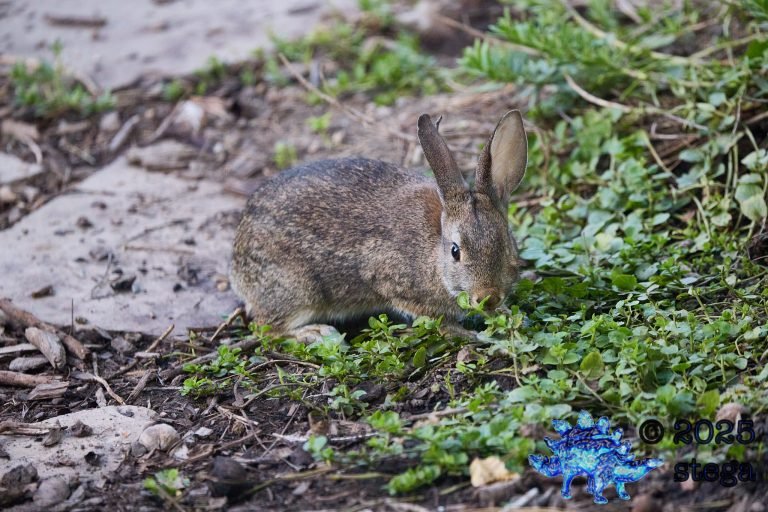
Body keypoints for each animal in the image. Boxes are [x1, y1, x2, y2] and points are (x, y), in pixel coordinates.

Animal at [231, 110, 528, 343]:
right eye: (456, 251)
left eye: (507, 243)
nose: (488, 297)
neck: (434, 253)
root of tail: (236, 260)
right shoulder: (391, 281)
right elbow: (436, 319)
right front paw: (464, 332)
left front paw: (504, 314)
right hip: (297, 290)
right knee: (265, 328)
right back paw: (314, 333)